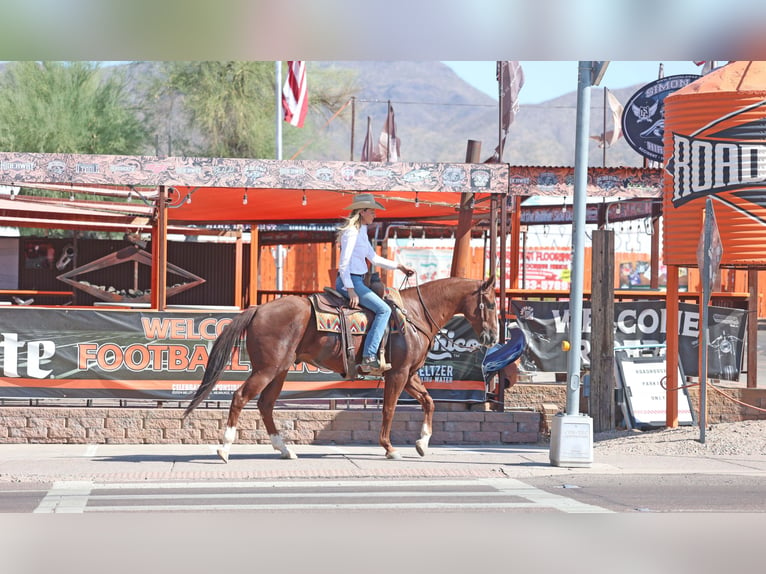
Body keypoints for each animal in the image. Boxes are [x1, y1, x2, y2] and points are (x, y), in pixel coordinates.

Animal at [184, 276, 500, 462]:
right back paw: (225, 448)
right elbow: (389, 409)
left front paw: (422, 443)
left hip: (279, 370)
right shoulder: (398, 374)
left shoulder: (409, 375)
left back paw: (285, 449)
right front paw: (389, 448)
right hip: (267, 369)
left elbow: (430, 401)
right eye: (490, 303)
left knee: (265, 404)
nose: (493, 336)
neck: (414, 314)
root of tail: (259, 309)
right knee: (240, 398)